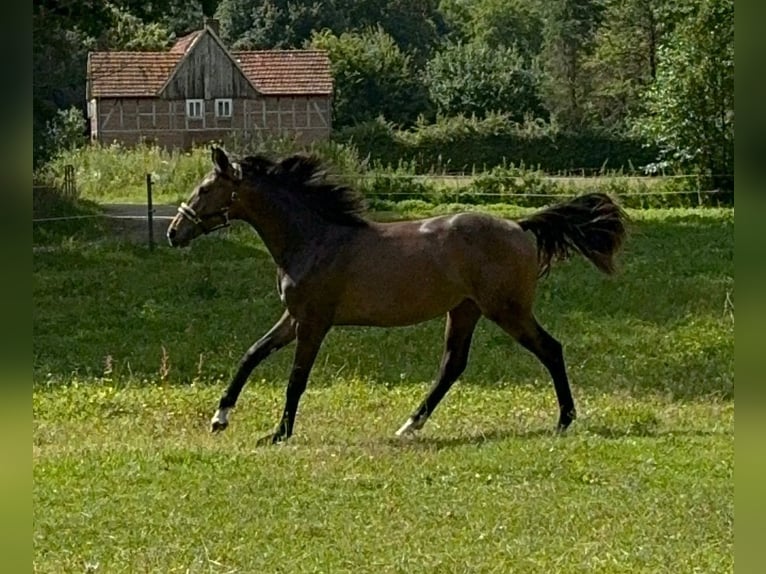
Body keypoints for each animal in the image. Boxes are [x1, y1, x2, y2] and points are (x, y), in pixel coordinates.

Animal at [168, 146, 632, 448]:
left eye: (205, 189)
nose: (175, 232)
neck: (314, 239)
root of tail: (520, 226)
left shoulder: (314, 322)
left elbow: (296, 379)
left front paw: (278, 434)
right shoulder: (294, 317)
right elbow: (252, 354)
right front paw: (220, 418)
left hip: (507, 310)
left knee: (550, 349)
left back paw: (565, 420)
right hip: (465, 311)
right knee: (453, 365)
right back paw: (409, 426)